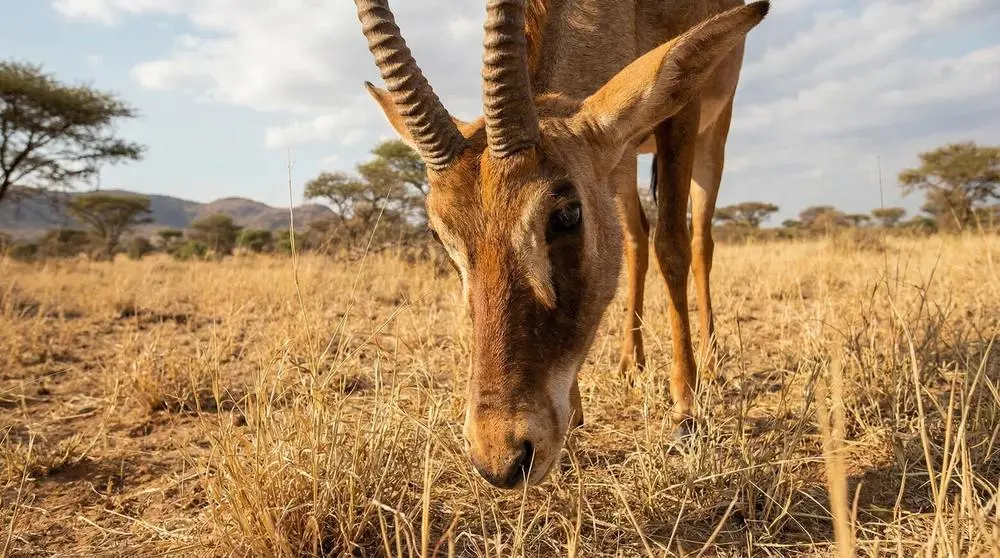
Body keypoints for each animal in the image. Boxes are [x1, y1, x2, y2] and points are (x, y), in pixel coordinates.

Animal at [353, 0, 769, 489]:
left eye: (566, 214)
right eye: (438, 233)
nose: (502, 458)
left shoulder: (681, 112)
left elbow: (673, 245)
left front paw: (686, 414)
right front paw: (576, 415)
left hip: (712, 132)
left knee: (698, 239)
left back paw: (710, 357)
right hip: (624, 163)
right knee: (635, 237)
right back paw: (630, 363)